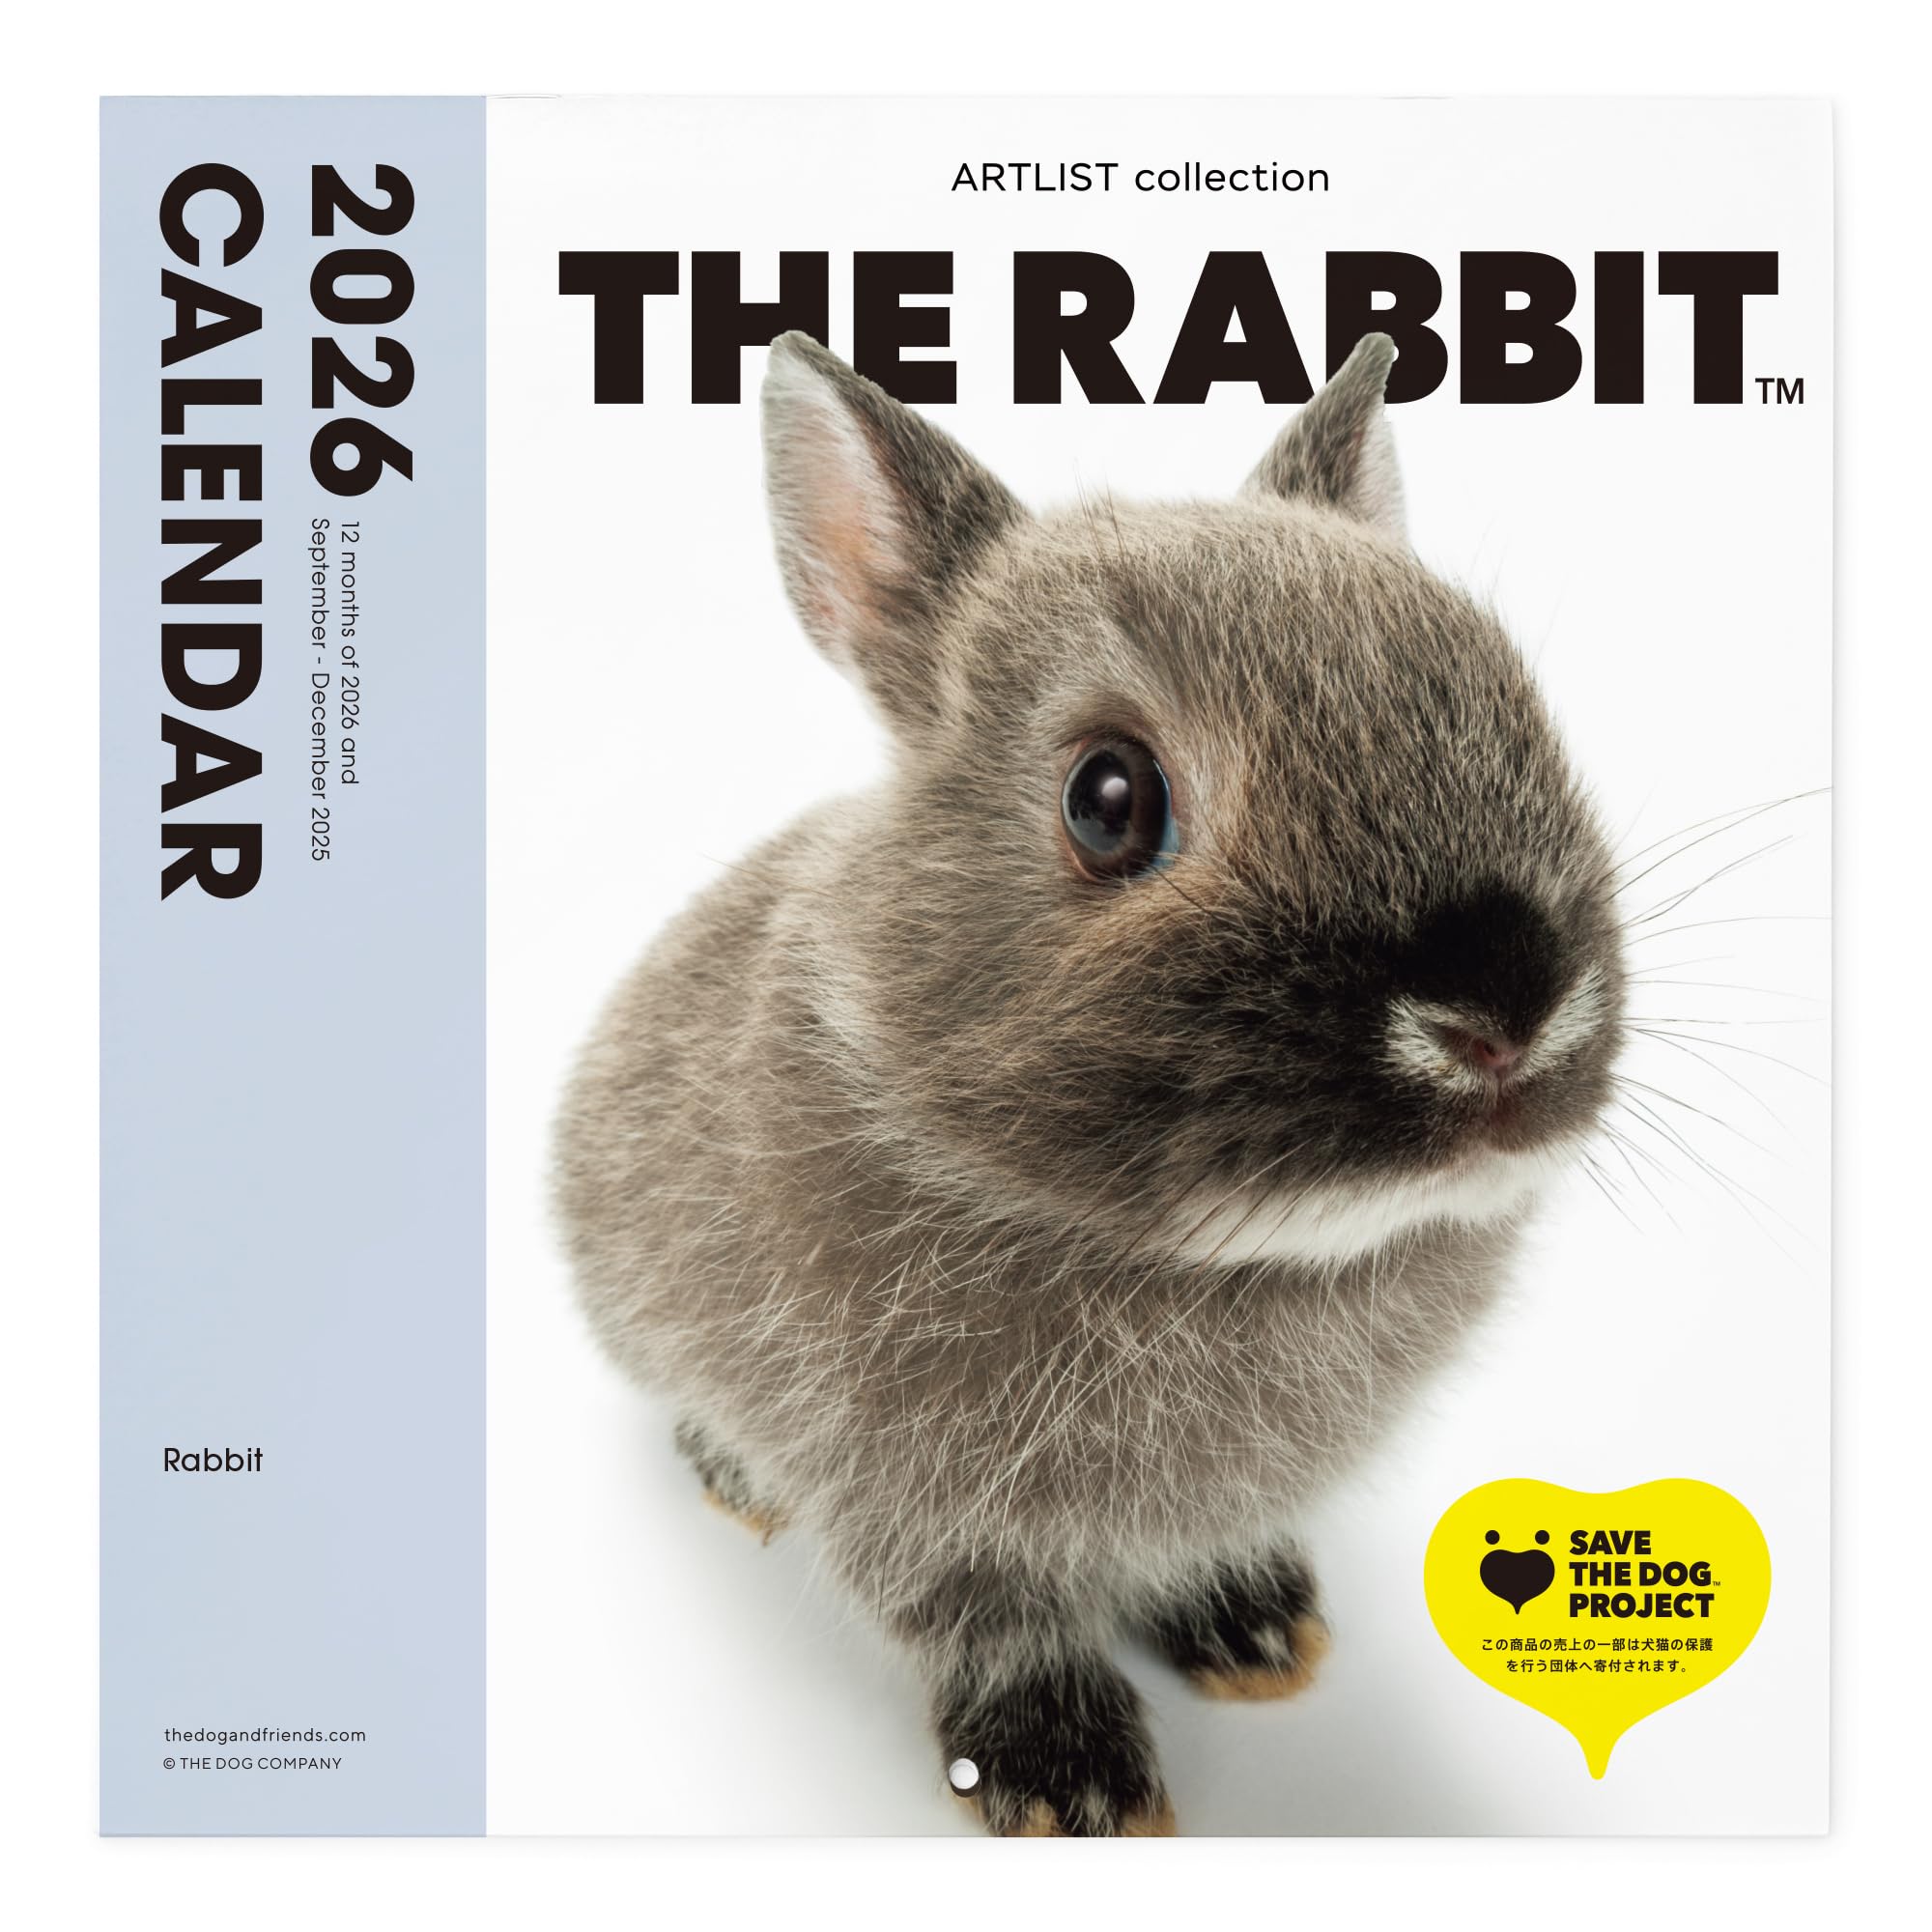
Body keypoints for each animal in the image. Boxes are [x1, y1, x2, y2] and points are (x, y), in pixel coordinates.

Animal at [552, 328, 1625, 1836]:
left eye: (1509, 696)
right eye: (1108, 799)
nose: (1503, 1014)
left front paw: (1255, 1632)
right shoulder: (904, 1497)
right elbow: (984, 1618)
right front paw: (1067, 1782)